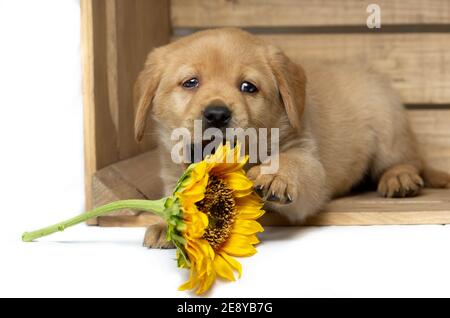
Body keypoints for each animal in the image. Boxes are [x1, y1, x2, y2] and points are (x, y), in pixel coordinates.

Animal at [134, 28, 450, 247]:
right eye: (190, 83)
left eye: (248, 87)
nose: (216, 114)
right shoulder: (172, 171)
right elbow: (175, 197)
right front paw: (168, 222)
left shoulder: (307, 162)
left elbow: (292, 162)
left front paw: (277, 175)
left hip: (388, 127)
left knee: (408, 160)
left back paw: (400, 178)